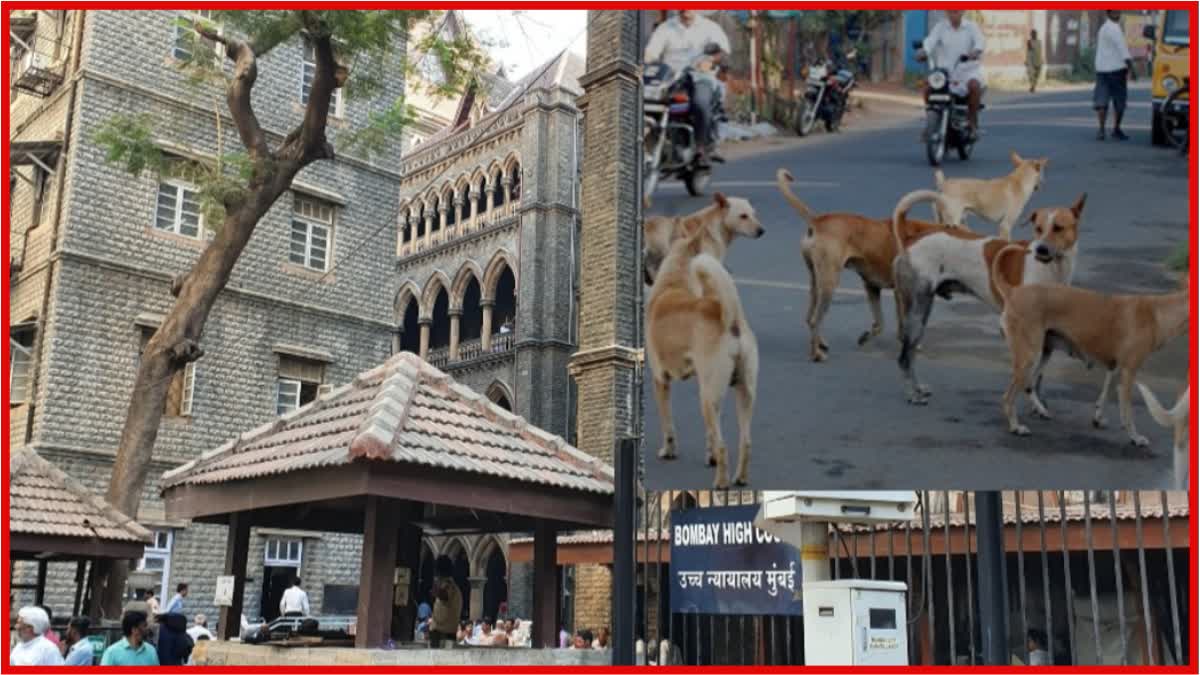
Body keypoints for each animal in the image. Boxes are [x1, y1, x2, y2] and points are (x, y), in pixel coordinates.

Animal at [648, 223, 758, 485]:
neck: (674, 282)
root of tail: (731, 320)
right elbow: (709, 435)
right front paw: (710, 458)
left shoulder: (660, 380)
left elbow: (668, 424)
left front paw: (668, 451)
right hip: (742, 394)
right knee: (745, 442)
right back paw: (739, 478)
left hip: (708, 397)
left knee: (724, 446)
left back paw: (721, 483)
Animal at [777, 166, 964, 360]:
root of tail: (818, 221)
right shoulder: (900, 293)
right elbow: (901, 323)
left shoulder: (872, 287)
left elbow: (880, 323)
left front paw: (867, 336)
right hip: (829, 283)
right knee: (815, 319)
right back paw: (816, 354)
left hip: (816, 281)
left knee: (809, 317)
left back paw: (821, 343)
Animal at [897, 187, 1084, 403]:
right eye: (1038, 228)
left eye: (1058, 228)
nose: (1041, 249)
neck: (1052, 269)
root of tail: (910, 239)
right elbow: (1027, 374)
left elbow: (1038, 375)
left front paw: (1038, 402)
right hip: (917, 311)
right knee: (904, 357)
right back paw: (913, 394)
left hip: (922, 313)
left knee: (910, 353)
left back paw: (917, 389)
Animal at [988, 243, 1185, 444]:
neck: (1158, 313)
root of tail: (1013, 291)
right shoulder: (1129, 372)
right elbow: (1127, 412)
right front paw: (1135, 438)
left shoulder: (1115, 370)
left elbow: (1104, 396)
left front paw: (1098, 419)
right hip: (1029, 357)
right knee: (1008, 397)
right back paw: (1015, 427)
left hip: (1043, 353)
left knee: (1029, 386)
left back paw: (1041, 411)